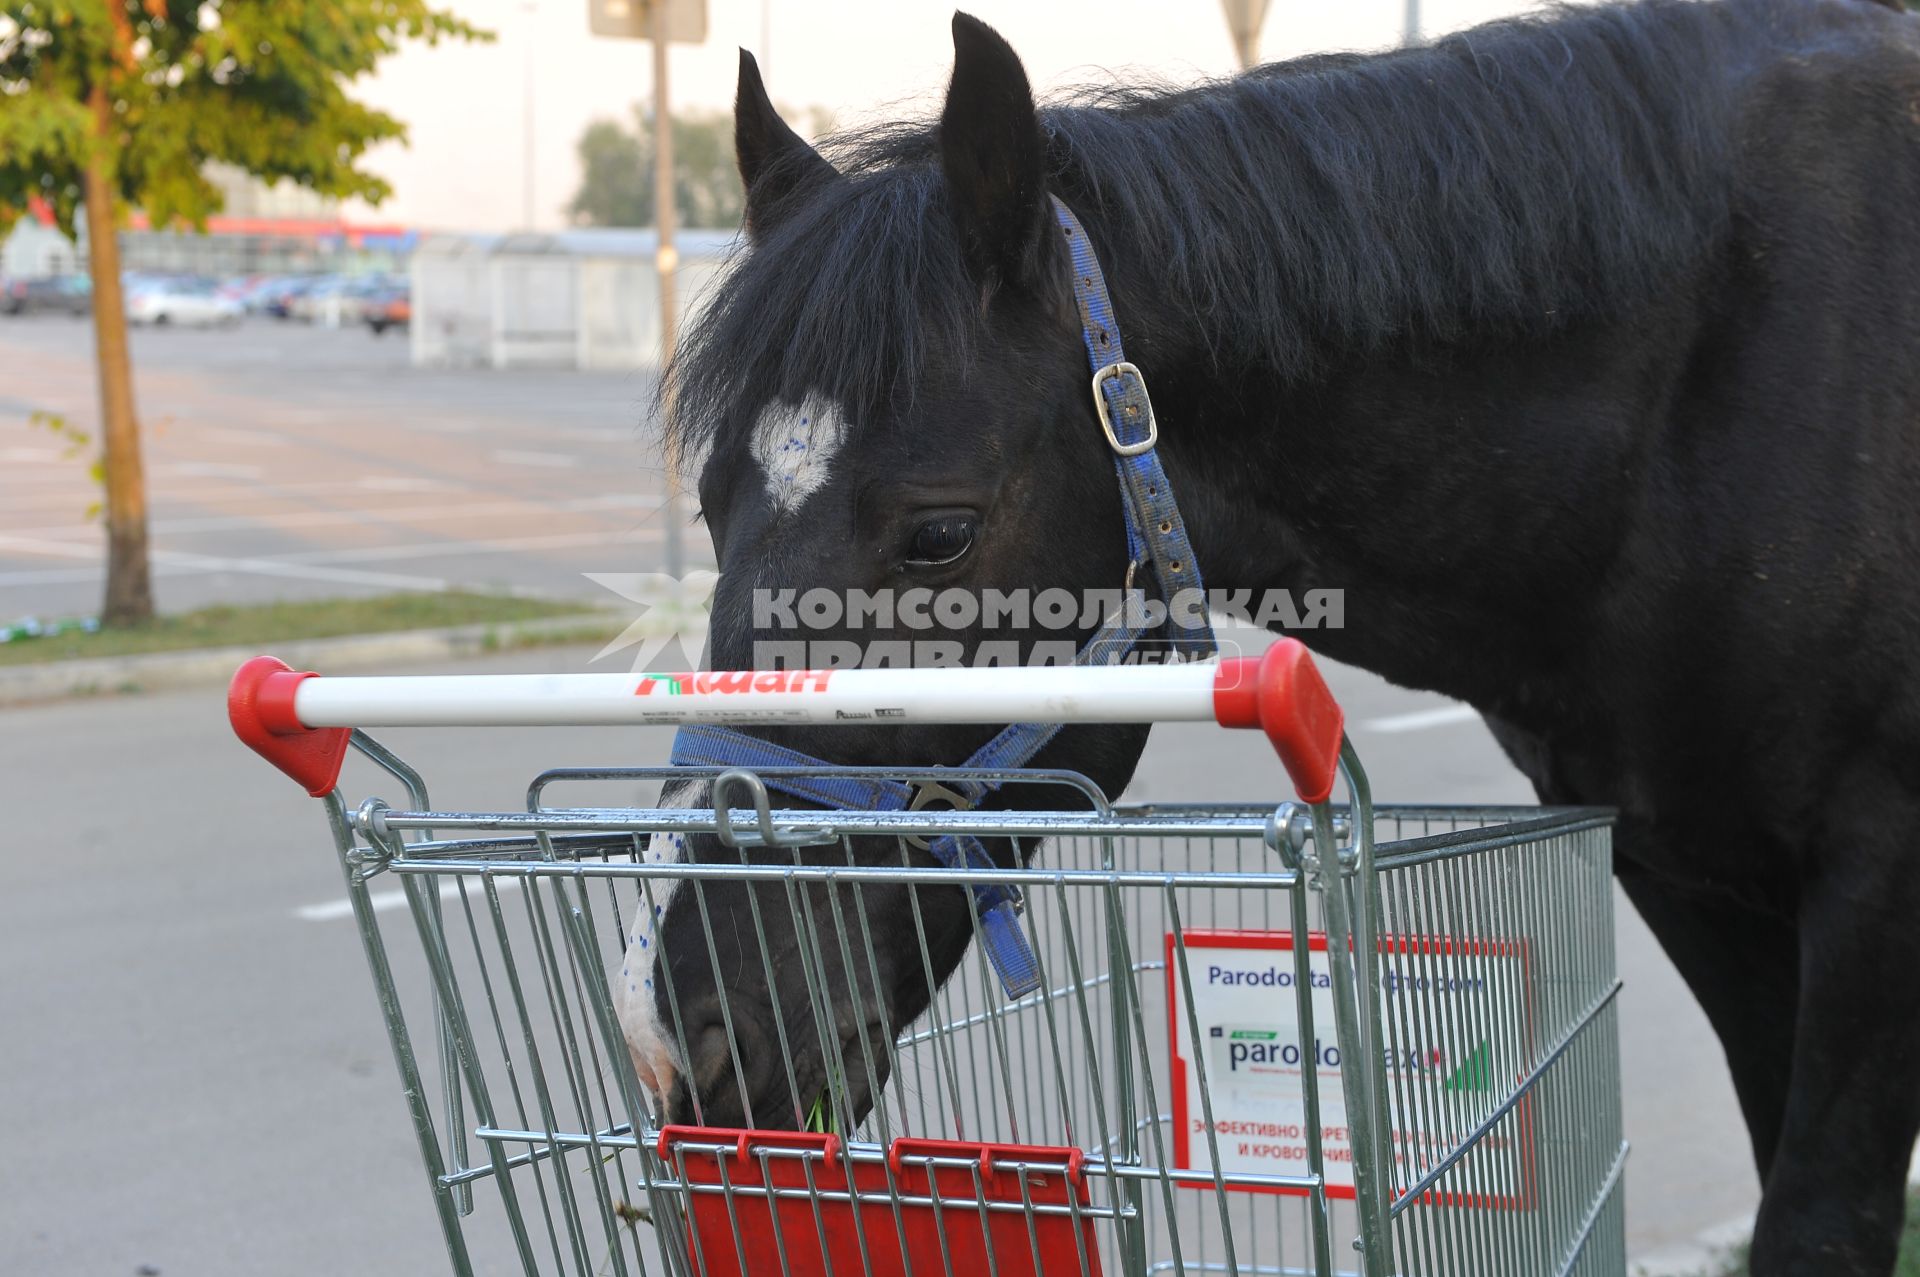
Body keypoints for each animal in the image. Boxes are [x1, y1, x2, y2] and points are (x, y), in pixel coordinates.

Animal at [618, 2, 1920, 1267]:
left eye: (939, 533)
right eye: (710, 504)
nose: (673, 1023)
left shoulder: (1872, 881)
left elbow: (1818, 1220)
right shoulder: (1686, 873)